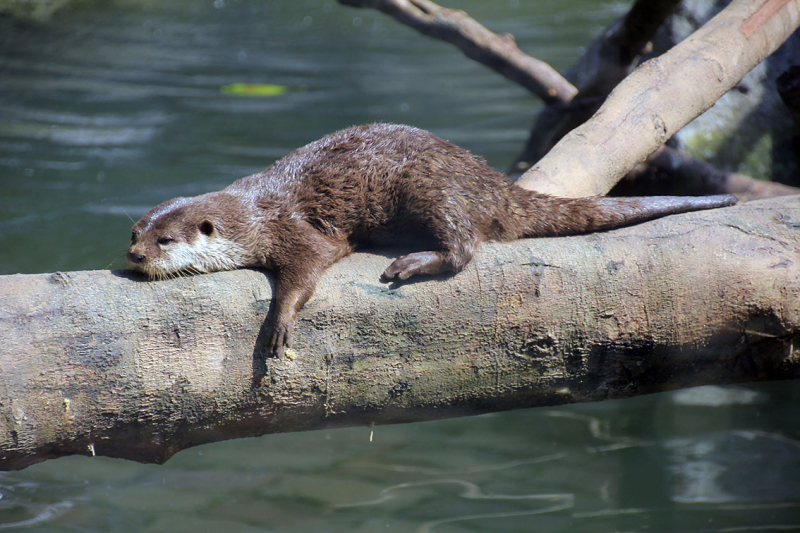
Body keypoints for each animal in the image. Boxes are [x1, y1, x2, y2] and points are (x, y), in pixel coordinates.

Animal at [130, 123, 736, 358]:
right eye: (134, 233)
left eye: (166, 240)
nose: (135, 256)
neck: (251, 210)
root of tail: (491, 182)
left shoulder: (291, 228)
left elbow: (306, 270)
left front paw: (278, 325)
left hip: (429, 186)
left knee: (464, 247)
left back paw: (413, 263)